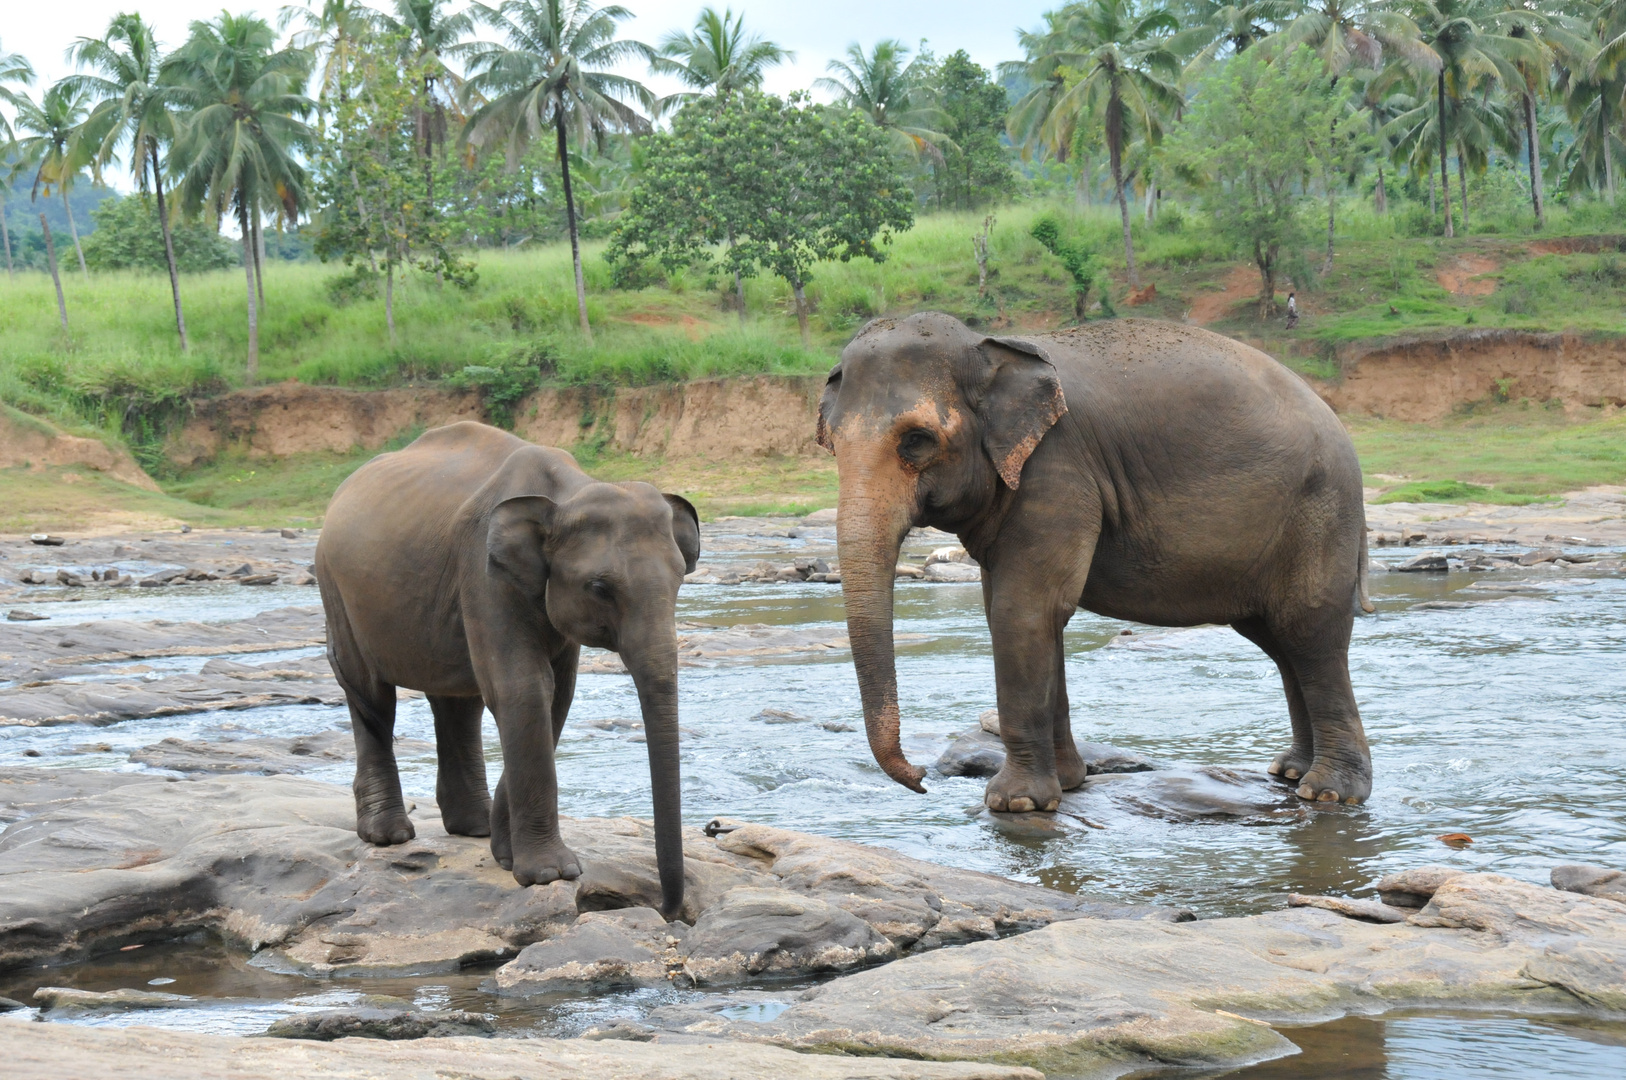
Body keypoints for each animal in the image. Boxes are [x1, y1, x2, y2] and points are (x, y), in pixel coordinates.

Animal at [315, 422, 699, 917]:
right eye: (599, 588)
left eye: (680, 578)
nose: (668, 912)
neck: (568, 491)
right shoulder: (483, 569)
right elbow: (524, 688)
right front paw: (550, 875)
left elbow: (557, 694)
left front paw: (507, 855)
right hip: (335, 586)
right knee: (370, 693)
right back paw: (389, 836)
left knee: (458, 704)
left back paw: (473, 827)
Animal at [813, 312, 1372, 810]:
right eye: (832, 444)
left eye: (917, 440)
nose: (922, 779)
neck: (986, 348)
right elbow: (1018, 613)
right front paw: (1066, 782)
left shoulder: (1058, 468)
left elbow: (1025, 611)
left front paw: (1015, 803)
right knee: (1280, 641)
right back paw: (1291, 772)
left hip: (1320, 514)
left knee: (1309, 630)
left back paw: (1329, 792)